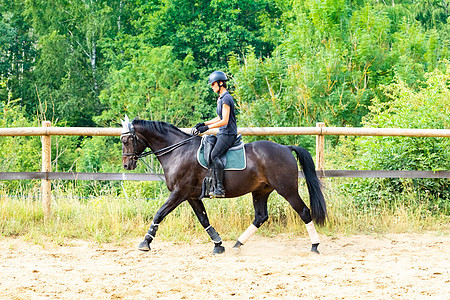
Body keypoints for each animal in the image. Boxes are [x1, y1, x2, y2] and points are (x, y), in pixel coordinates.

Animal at [121, 116, 326, 254]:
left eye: (126, 140)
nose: (126, 165)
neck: (178, 151)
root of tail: (285, 148)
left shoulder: (179, 193)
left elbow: (159, 213)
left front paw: (145, 243)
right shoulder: (191, 196)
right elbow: (204, 219)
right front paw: (218, 244)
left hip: (287, 189)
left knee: (304, 212)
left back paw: (315, 245)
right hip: (261, 191)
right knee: (261, 216)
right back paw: (237, 244)